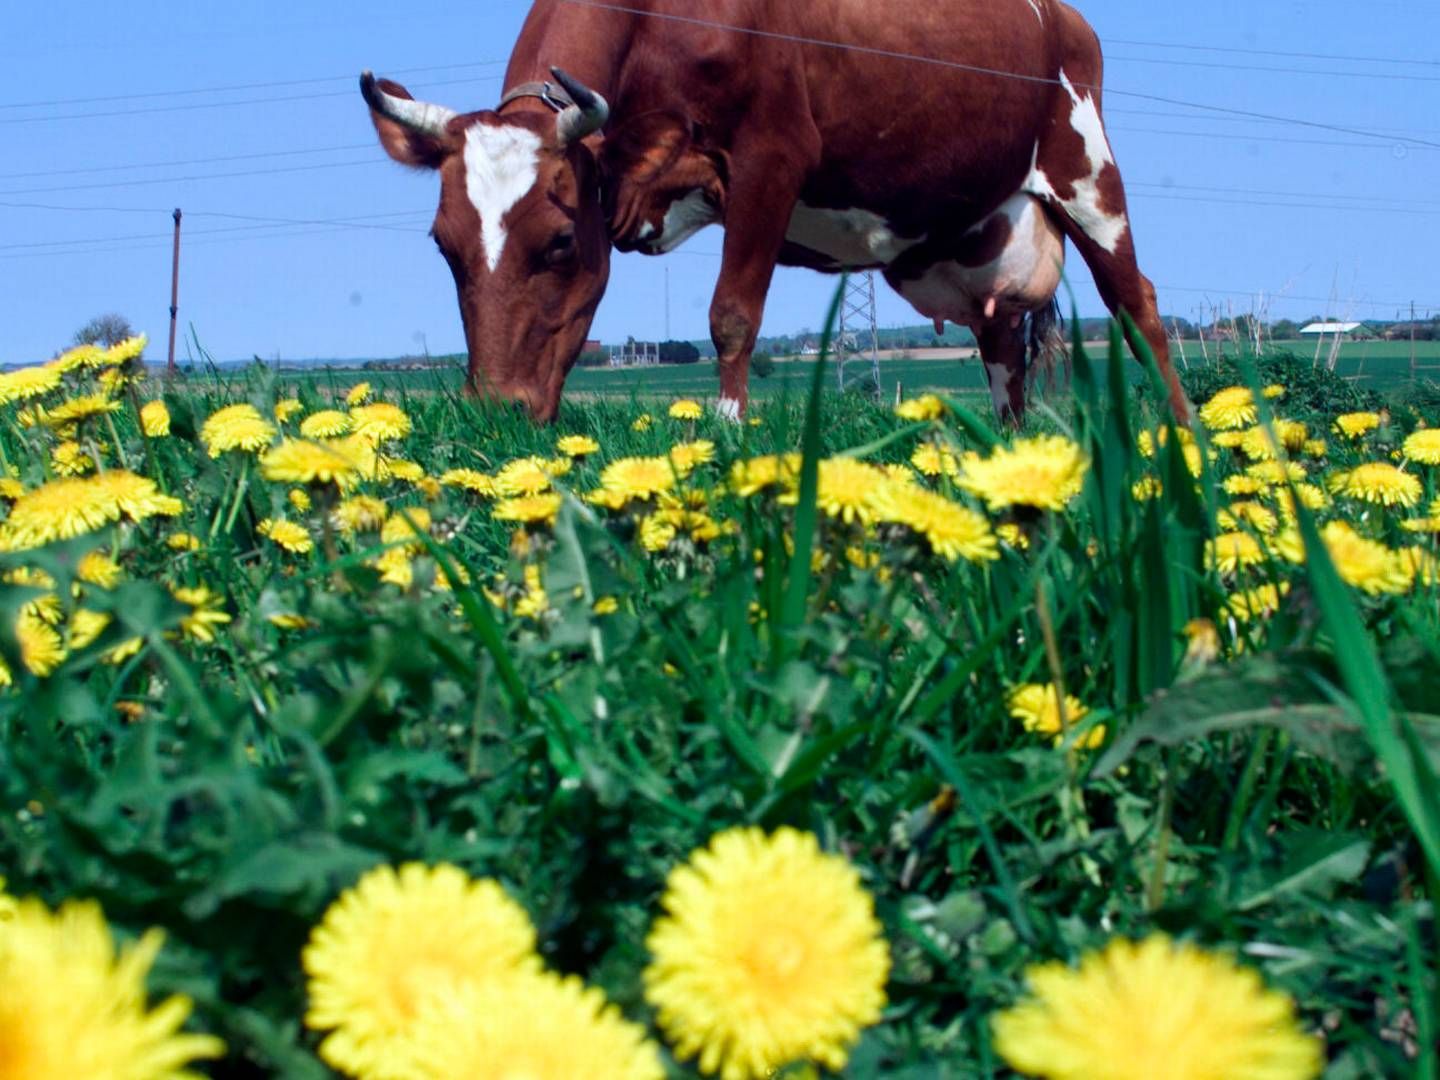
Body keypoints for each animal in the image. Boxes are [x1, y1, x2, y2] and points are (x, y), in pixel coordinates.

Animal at [362, 0, 1192, 426]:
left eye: (561, 241)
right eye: (443, 245)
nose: (495, 413)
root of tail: (1063, 17)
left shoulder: (771, 159)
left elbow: (732, 316)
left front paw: (728, 440)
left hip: (1088, 172)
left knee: (1139, 307)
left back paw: (1183, 444)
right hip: (970, 232)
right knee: (1001, 344)